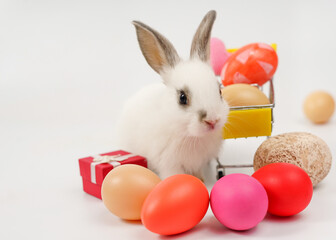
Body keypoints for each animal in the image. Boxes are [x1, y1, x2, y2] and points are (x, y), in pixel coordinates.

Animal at [115, 10, 228, 180]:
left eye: (219, 91)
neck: (192, 136)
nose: (212, 121)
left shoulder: (198, 164)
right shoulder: (169, 163)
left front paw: (201, 180)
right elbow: (173, 175)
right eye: (182, 98)